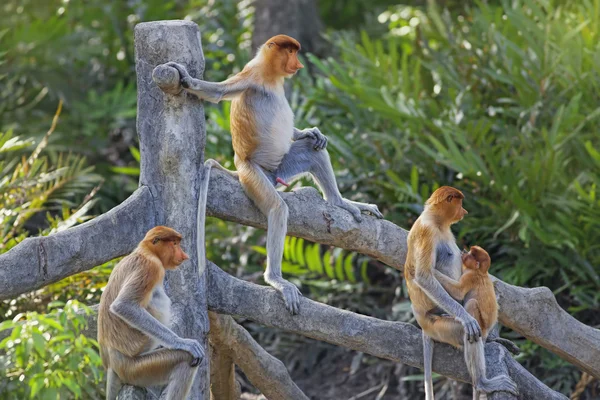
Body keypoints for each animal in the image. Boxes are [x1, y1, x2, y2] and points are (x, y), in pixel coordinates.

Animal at [96, 227, 204, 398]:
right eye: (174, 244)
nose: (184, 256)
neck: (146, 251)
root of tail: (111, 364)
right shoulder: (150, 267)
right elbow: (123, 305)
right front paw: (184, 343)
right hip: (135, 369)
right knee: (185, 360)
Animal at [166, 35, 382, 316]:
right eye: (290, 51)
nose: (298, 64)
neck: (270, 76)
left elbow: (308, 139)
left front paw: (310, 132)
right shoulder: (251, 74)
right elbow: (218, 92)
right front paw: (186, 79)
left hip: (282, 167)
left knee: (313, 152)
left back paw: (340, 201)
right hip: (253, 177)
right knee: (278, 209)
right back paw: (276, 279)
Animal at [406, 188, 516, 400]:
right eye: (459, 203)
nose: (464, 211)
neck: (436, 220)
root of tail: (423, 323)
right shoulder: (427, 232)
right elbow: (423, 276)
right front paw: (467, 318)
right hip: (440, 326)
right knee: (469, 327)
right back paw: (482, 383)